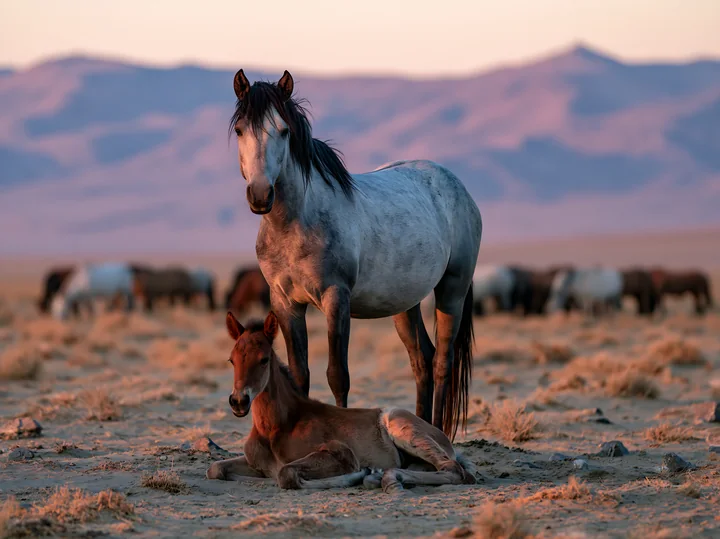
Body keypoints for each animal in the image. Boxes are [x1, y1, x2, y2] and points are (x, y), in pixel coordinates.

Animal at [205, 311, 478, 492]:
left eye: (263, 359)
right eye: (231, 360)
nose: (238, 401)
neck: (276, 428)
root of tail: (443, 437)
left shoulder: (339, 453)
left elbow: (286, 474)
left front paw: (358, 473)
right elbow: (215, 469)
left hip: (403, 427)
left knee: (454, 470)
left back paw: (381, 477)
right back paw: (379, 477)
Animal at [228, 70, 482, 439]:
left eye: (284, 130)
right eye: (239, 129)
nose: (261, 194)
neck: (295, 222)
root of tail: (456, 185)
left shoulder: (336, 298)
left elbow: (338, 375)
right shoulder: (285, 304)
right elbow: (300, 375)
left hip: (452, 290)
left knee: (441, 362)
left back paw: (437, 433)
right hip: (404, 304)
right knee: (421, 360)